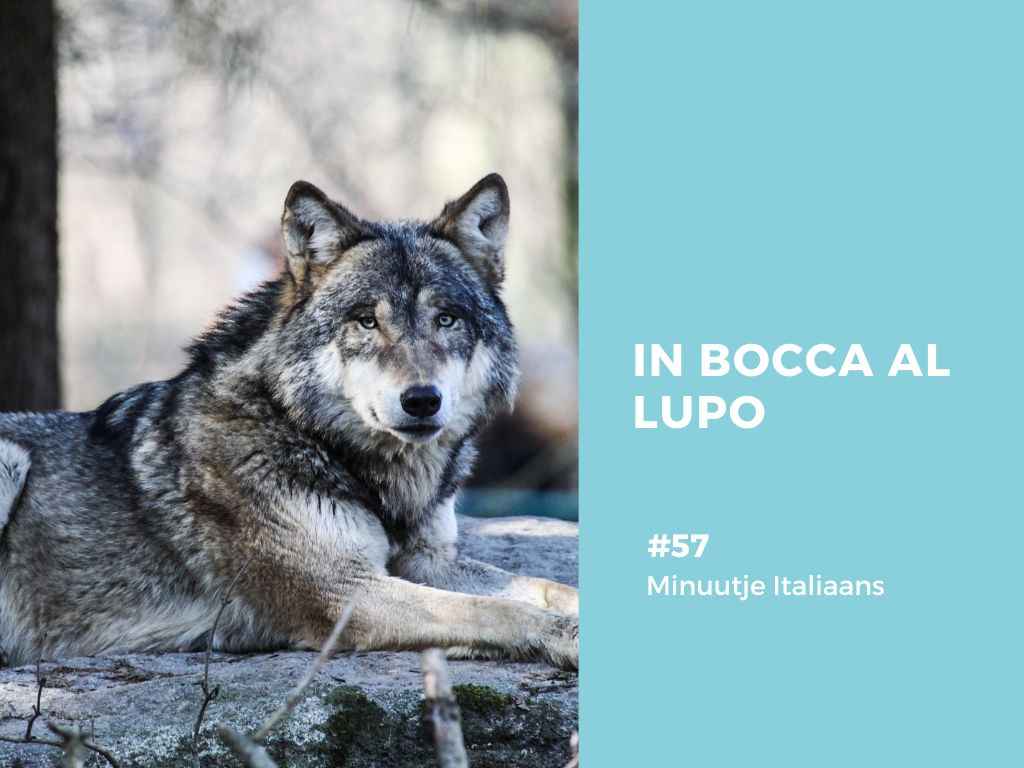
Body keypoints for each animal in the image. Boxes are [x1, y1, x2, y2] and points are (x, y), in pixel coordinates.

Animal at [0, 174, 578, 669]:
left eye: (447, 319)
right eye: (366, 321)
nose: (421, 401)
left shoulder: (427, 562)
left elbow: (544, 586)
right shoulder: (344, 593)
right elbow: (498, 611)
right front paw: (566, 638)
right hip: (11, 460)